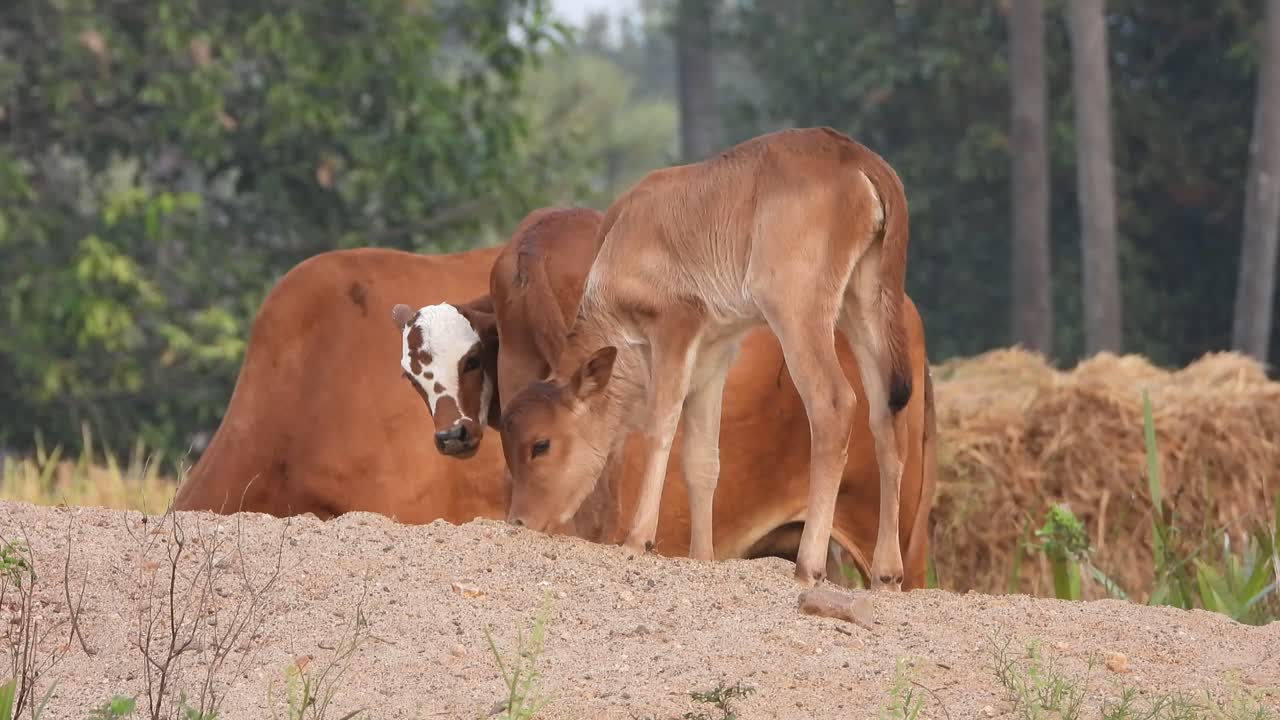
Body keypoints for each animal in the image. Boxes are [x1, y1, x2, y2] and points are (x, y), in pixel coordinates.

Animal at [496, 128, 915, 590]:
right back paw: (887, 572)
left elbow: (660, 427)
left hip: (796, 309)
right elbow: (701, 460)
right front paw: (701, 556)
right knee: (887, 416)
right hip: (864, 304)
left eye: (541, 445)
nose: (519, 522)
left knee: (835, 405)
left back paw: (809, 564)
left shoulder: (674, 327)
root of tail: (854, 155)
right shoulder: (713, 356)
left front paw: (638, 539)